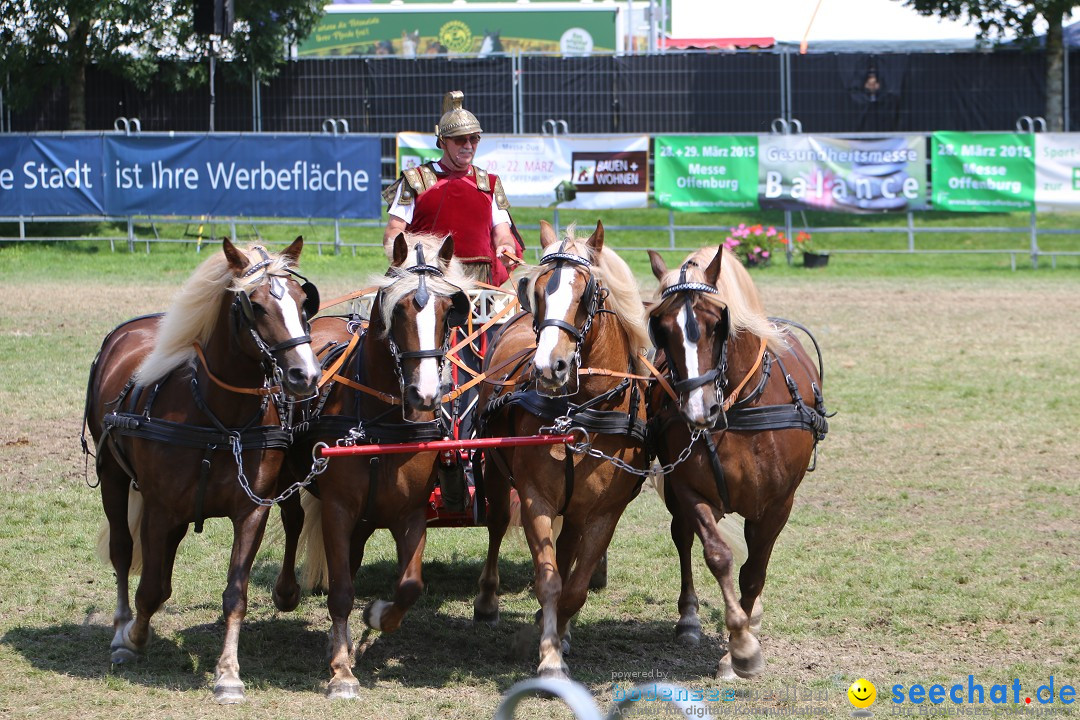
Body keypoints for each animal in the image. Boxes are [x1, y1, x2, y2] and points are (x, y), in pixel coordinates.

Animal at [83, 237, 319, 703]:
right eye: (255, 306)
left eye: (303, 302)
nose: (305, 374)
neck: (218, 418)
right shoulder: (158, 508)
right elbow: (149, 587)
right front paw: (134, 639)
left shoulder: (251, 512)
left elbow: (235, 593)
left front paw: (228, 673)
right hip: (114, 478)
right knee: (123, 550)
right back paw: (121, 629)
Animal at [287, 234, 473, 699]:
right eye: (398, 309)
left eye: (448, 311)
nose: (425, 395)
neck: (378, 422)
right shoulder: (338, 510)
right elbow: (340, 590)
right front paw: (341, 672)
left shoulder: (411, 513)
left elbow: (410, 585)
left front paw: (376, 618)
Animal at [473, 220, 648, 682]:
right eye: (537, 291)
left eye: (587, 294)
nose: (548, 367)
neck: (578, 414)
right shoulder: (537, 497)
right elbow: (549, 580)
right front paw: (549, 656)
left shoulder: (605, 511)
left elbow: (576, 585)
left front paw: (557, 634)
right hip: (495, 474)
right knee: (497, 525)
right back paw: (487, 600)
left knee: (568, 547)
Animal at [643, 246, 829, 682]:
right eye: (661, 328)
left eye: (717, 324)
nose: (698, 410)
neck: (740, 409)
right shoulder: (689, 490)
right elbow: (719, 556)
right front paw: (741, 646)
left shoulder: (777, 504)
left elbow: (754, 571)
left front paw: (739, 645)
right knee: (682, 538)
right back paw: (690, 619)